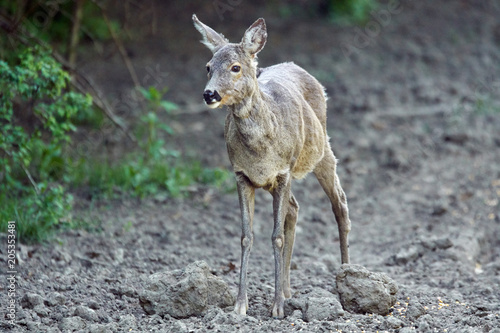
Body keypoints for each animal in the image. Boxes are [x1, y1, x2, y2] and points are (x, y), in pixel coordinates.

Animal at [191, 14, 352, 318]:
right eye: (207, 66)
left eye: (235, 67)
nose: (209, 94)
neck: (260, 150)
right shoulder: (242, 175)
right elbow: (246, 236)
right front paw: (240, 305)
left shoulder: (284, 171)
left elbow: (276, 236)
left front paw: (276, 308)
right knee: (295, 208)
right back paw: (288, 290)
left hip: (322, 150)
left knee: (340, 205)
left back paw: (347, 276)